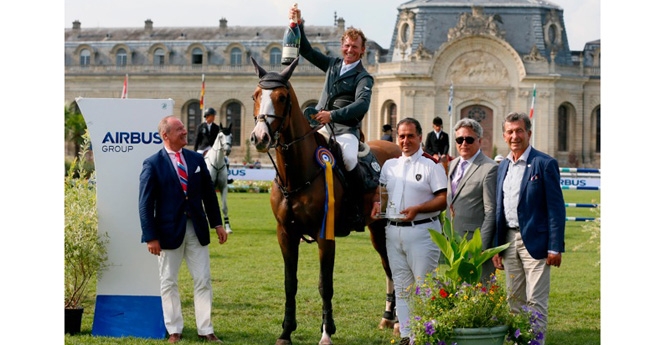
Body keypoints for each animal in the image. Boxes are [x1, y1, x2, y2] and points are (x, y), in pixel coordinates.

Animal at [250, 57, 400, 344]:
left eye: (282, 97)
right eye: (256, 95)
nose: (260, 137)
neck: (296, 175)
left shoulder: (325, 235)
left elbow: (325, 284)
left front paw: (326, 332)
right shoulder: (285, 234)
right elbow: (290, 283)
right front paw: (286, 331)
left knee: (394, 266)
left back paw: (397, 321)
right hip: (377, 229)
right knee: (388, 266)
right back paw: (389, 317)